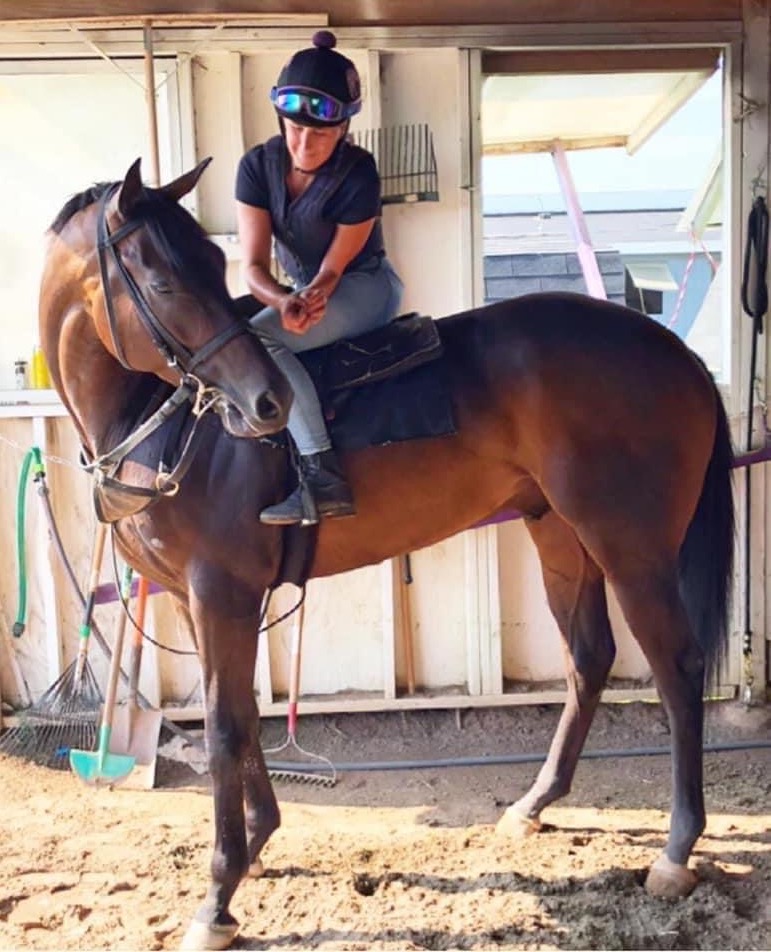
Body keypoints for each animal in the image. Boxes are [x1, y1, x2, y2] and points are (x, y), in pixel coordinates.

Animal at [40, 160, 736, 948]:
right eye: (163, 284)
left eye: (212, 267)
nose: (267, 403)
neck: (160, 422)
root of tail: (673, 352)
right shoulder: (199, 601)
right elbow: (243, 714)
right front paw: (258, 841)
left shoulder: (221, 592)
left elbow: (223, 727)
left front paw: (219, 895)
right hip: (558, 531)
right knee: (587, 659)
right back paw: (534, 803)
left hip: (630, 544)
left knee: (676, 668)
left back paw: (675, 850)